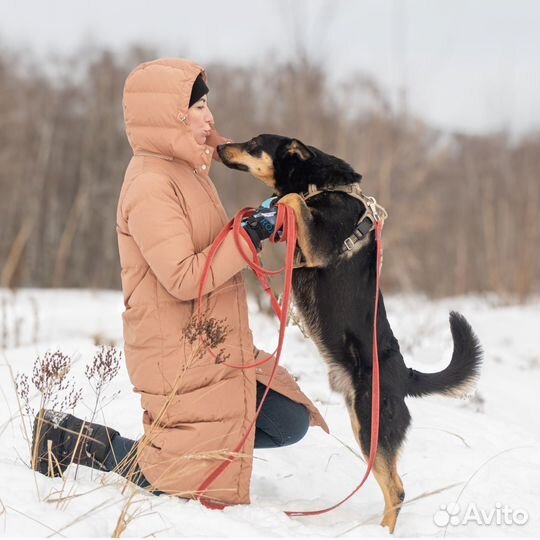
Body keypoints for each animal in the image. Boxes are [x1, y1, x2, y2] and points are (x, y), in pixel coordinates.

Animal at [215, 135, 480, 532]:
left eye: (254, 143)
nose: (219, 147)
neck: (321, 184)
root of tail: (405, 375)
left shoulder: (316, 246)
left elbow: (294, 202)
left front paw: (280, 203)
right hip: (362, 422)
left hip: (373, 426)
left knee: (397, 490)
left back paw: (381, 532)